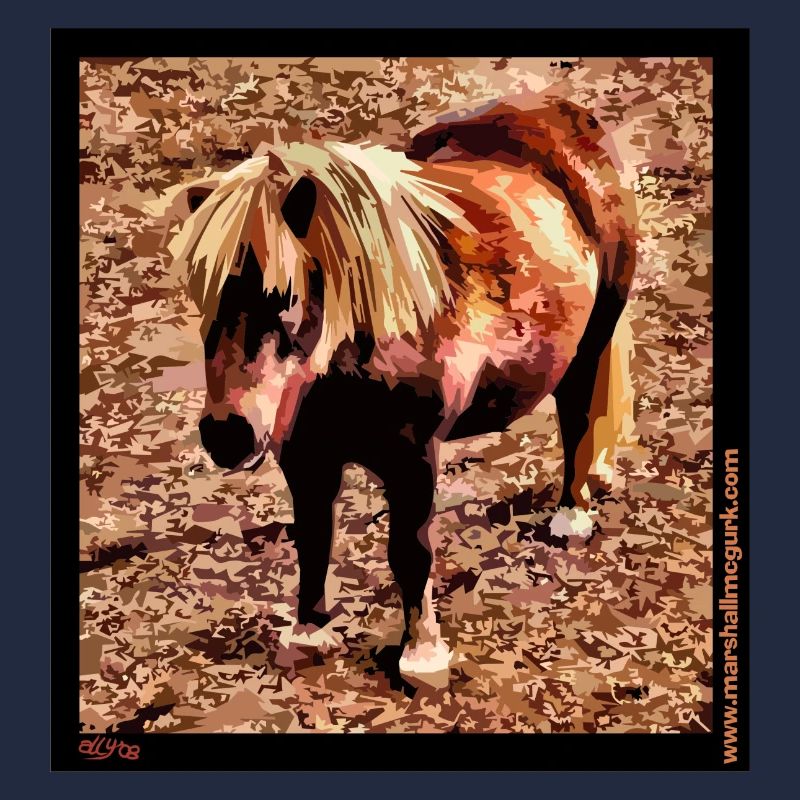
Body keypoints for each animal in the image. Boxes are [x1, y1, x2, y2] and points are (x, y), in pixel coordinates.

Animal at [167, 95, 638, 682]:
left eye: (285, 295)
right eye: (203, 299)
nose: (225, 435)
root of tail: (565, 113)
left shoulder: (414, 458)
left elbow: (409, 552)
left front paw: (421, 655)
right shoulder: (306, 457)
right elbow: (313, 540)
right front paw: (309, 633)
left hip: (590, 347)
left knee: (577, 424)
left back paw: (571, 516)